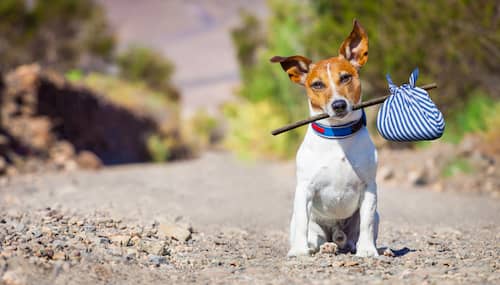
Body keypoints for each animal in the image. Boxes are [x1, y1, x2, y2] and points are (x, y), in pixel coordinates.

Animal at [274, 19, 378, 255]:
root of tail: (336, 232)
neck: (338, 136)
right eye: (317, 84)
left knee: (352, 238)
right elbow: (302, 223)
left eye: (346, 77)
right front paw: (299, 252)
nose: (338, 105)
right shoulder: (304, 189)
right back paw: (323, 247)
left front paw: (368, 251)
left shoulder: (369, 188)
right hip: (310, 225)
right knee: (315, 237)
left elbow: (366, 222)